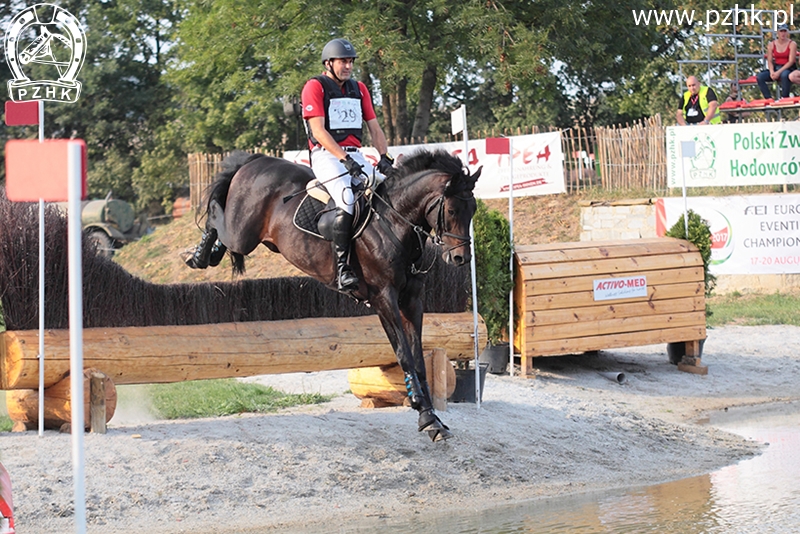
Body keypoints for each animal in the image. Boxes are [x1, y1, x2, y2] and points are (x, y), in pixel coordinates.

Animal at [184, 149, 478, 442]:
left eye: (473, 210)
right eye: (452, 210)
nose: (461, 258)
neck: (394, 222)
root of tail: (257, 160)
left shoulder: (412, 300)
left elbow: (418, 359)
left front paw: (432, 418)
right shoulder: (384, 299)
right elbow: (403, 353)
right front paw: (424, 414)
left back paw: (208, 255)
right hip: (242, 234)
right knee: (215, 215)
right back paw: (198, 255)